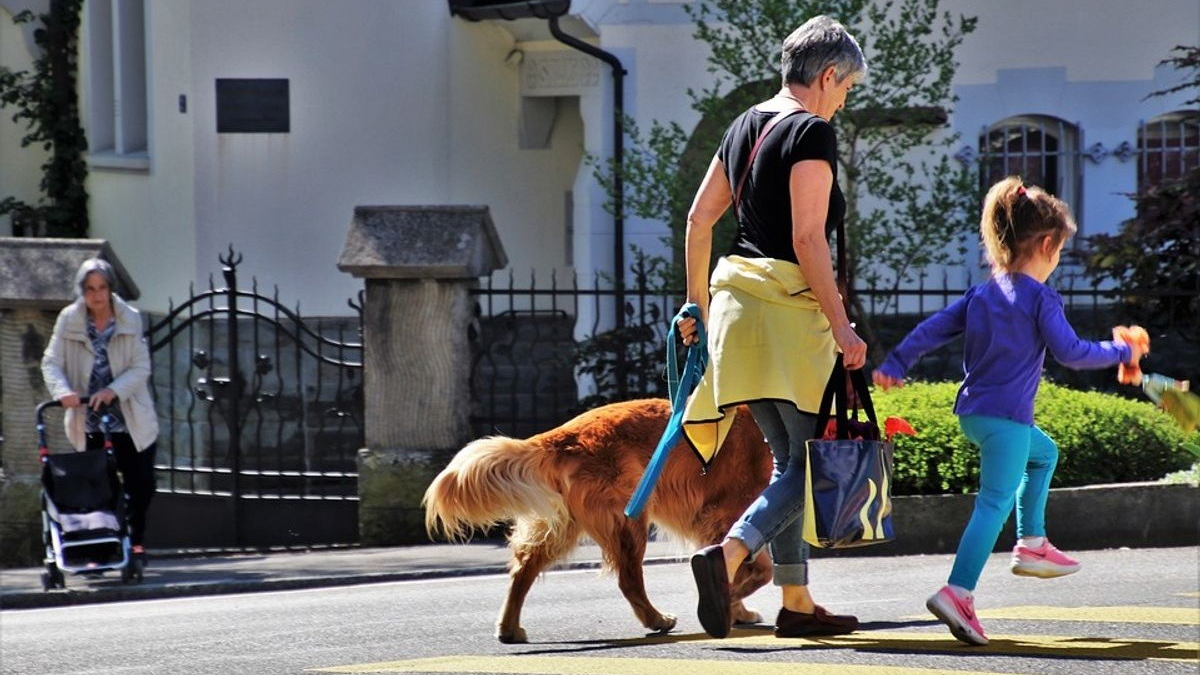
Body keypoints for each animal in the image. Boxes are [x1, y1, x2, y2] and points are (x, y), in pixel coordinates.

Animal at [427, 396, 772, 638]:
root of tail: (563, 435)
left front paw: (735, 609)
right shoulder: (727, 513)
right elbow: (755, 569)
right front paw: (729, 604)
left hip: (564, 525)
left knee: (523, 570)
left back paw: (509, 628)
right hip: (628, 519)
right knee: (628, 579)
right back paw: (656, 619)